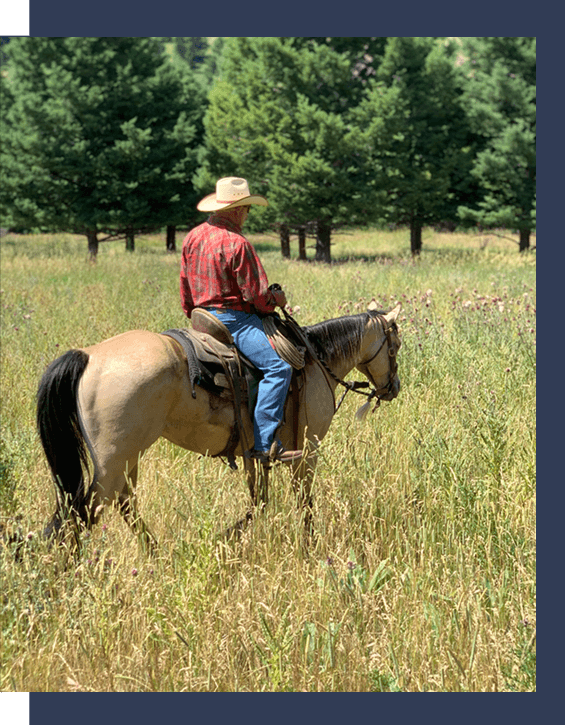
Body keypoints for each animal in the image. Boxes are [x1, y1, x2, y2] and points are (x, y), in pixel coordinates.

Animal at [36, 302, 400, 544]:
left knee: (121, 504)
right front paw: (310, 546)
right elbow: (304, 501)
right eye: (395, 347)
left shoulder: (257, 453)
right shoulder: (307, 450)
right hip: (113, 461)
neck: (315, 361)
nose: (393, 388)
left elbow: (259, 500)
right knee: (84, 512)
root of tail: (89, 355)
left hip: (126, 459)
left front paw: (228, 536)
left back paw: (155, 552)